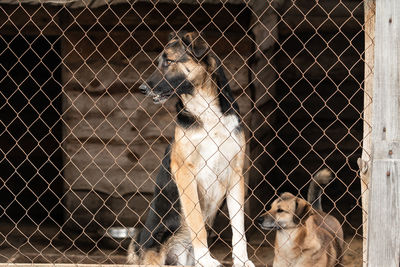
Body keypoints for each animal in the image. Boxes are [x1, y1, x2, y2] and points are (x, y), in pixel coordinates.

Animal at [126, 31, 255, 267]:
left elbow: (238, 228)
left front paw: (241, 260)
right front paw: (207, 259)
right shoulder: (185, 172)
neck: (205, 110)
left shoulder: (236, 174)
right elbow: (196, 223)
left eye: (169, 61)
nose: (142, 89)